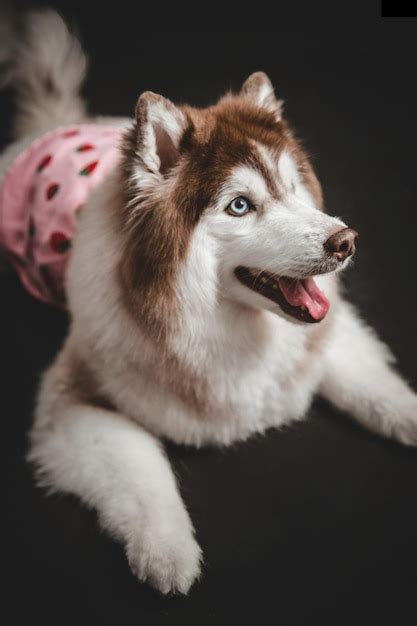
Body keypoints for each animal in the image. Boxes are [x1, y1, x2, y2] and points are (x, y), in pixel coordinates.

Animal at [1, 11, 414, 596]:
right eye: (239, 206)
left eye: (292, 187)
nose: (345, 241)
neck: (222, 325)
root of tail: (49, 130)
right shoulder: (75, 402)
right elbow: (144, 471)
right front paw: (167, 551)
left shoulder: (322, 336)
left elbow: (372, 382)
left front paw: (410, 415)